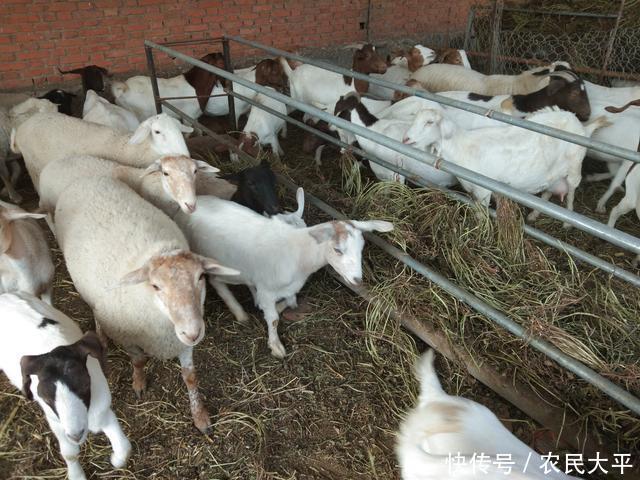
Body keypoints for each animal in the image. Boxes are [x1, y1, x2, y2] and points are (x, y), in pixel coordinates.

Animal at [55, 174, 239, 434]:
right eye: (155, 286)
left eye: (201, 277)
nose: (193, 332)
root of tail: (86, 179)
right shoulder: (129, 338)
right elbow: (139, 361)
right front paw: (139, 382)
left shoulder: (179, 342)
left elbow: (190, 376)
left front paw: (200, 416)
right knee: (96, 312)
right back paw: (101, 337)